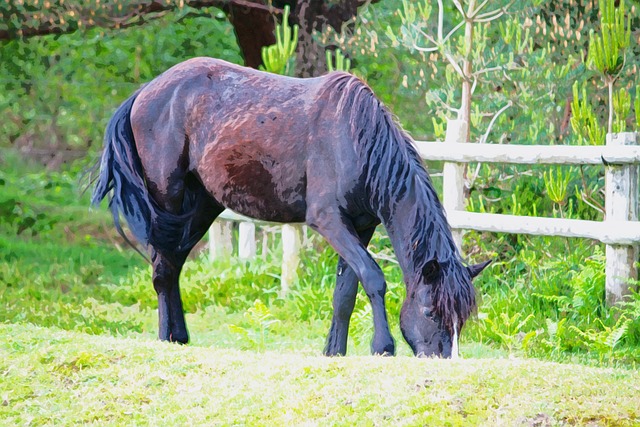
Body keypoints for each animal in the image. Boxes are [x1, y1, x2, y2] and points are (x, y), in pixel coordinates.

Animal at [91, 56, 490, 358]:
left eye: (462, 319)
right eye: (429, 311)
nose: (442, 358)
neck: (356, 138)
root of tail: (144, 93)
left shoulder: (360, 226)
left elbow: (346, 291)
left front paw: (334, 351)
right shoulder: (329, 221)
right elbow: (373, 278)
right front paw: (383, 346)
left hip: (201, 207)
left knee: (172, 264)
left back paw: (180, 337)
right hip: (167, 199)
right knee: (162, 268)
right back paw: (165, 337)